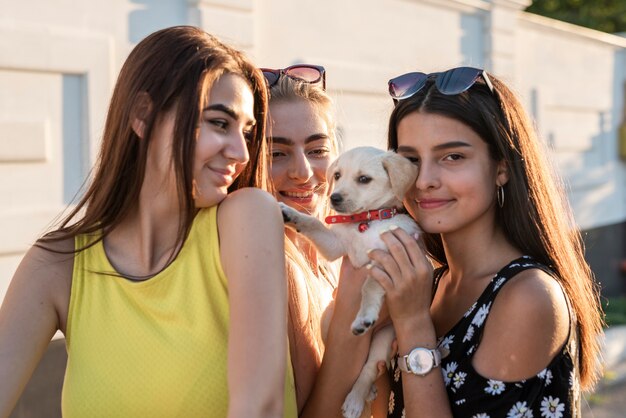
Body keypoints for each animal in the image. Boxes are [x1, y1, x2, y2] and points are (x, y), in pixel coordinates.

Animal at [280, 146, 420, 418]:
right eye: (337, 175)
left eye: (364, 179)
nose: (334, 198)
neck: (365, 223)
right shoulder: (336, 246)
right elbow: (314, 223)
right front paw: (290, 214)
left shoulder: (387, 259)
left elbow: (369, 285)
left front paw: (363, 316)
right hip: (327, 318)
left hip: (385, 335)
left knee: (369, 367)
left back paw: (357, 397)